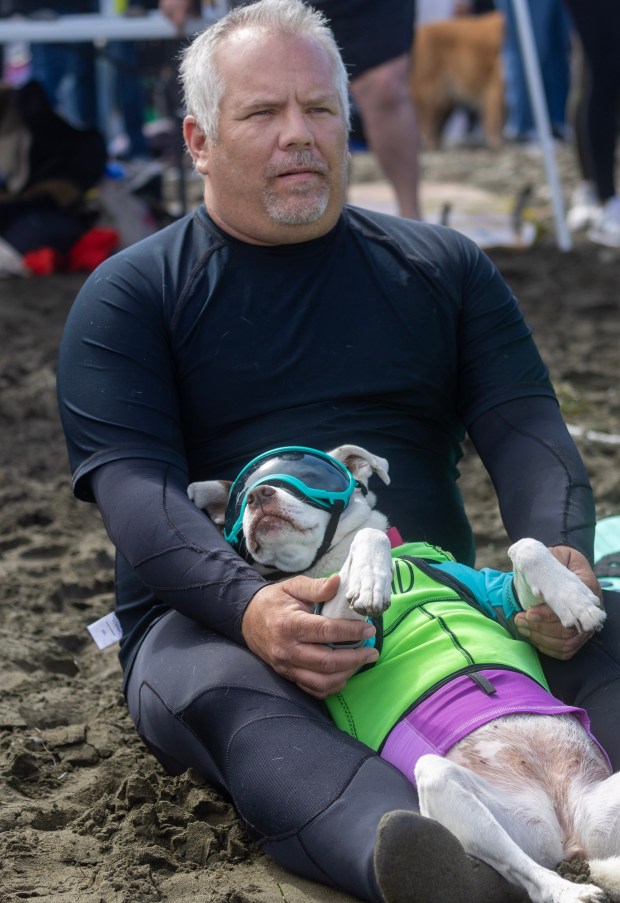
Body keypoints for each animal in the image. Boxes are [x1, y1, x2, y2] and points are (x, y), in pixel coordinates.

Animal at [188, 444, 620, 903]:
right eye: (242, 499)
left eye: (308, 476)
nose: (259, 495)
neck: (331, 560)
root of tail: (570, 833)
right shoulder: (336, 638)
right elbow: (367, 541)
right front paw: (370, 581)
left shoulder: (500, 600)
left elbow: (525, 545)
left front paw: (575, 598)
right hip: (452, 788)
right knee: (525, 871)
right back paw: (568, 892)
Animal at [412, 12, 504, 151]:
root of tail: (418, 31)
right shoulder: (496, 85)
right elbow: (496, 118)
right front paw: (496, 143)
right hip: (433, 93)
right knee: (426, 120)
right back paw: (430, 144)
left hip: (446, 99)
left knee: (434, 122)